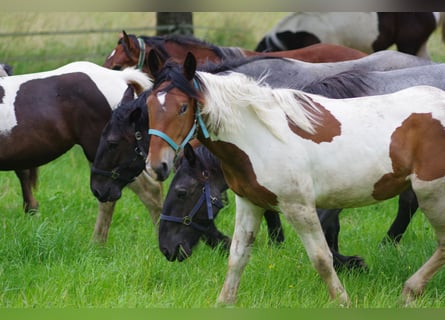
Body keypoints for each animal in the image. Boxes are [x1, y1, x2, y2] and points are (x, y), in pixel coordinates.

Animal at [146, 53, 445, 306]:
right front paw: (224, 303)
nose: (167, 248)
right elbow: (237, 256)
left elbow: (322, 257)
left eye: (182, 107)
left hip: (431, 195)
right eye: (148, 106)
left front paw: (343, 299)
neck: (261, 137)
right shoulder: (250, 203)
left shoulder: (300, 206)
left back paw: (410, 290)